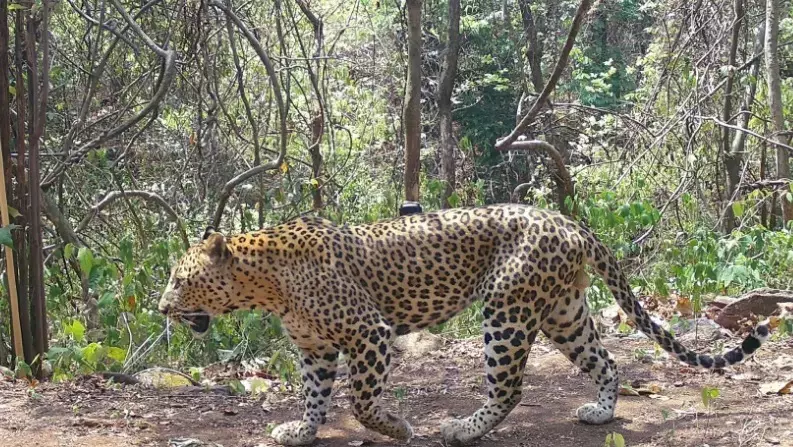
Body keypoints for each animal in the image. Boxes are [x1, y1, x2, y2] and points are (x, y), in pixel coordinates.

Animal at [158, 204, 770, 446]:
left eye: (180, 280)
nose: (161, 309)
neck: (264, 284)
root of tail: (566, 219)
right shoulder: (314, 348)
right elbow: (315, 397)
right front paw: (301, 431)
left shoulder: (370, 332)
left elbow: (361, 399)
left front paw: (396, 427)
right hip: (564, 313)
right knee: (606, 360)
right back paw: (600, 412)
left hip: (506, 310)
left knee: (510, 387)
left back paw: (462, 428)